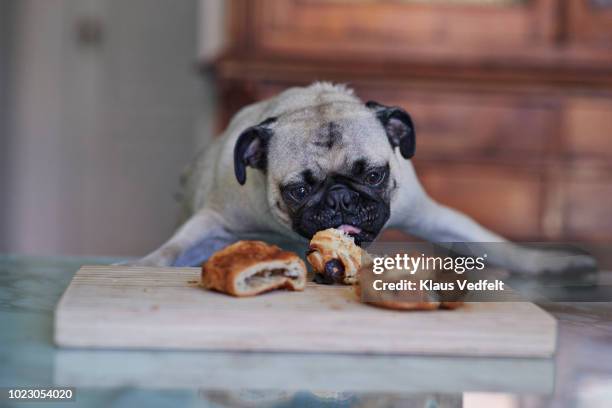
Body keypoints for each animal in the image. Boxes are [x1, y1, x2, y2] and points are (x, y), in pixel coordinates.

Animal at [130, 81, 596, 276]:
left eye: (373, 174)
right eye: (299, 190)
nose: (339, 197)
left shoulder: (428, 215)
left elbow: (493, 242)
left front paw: (548, 262)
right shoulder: (217, 220)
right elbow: (174, 247)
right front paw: (143, 264)